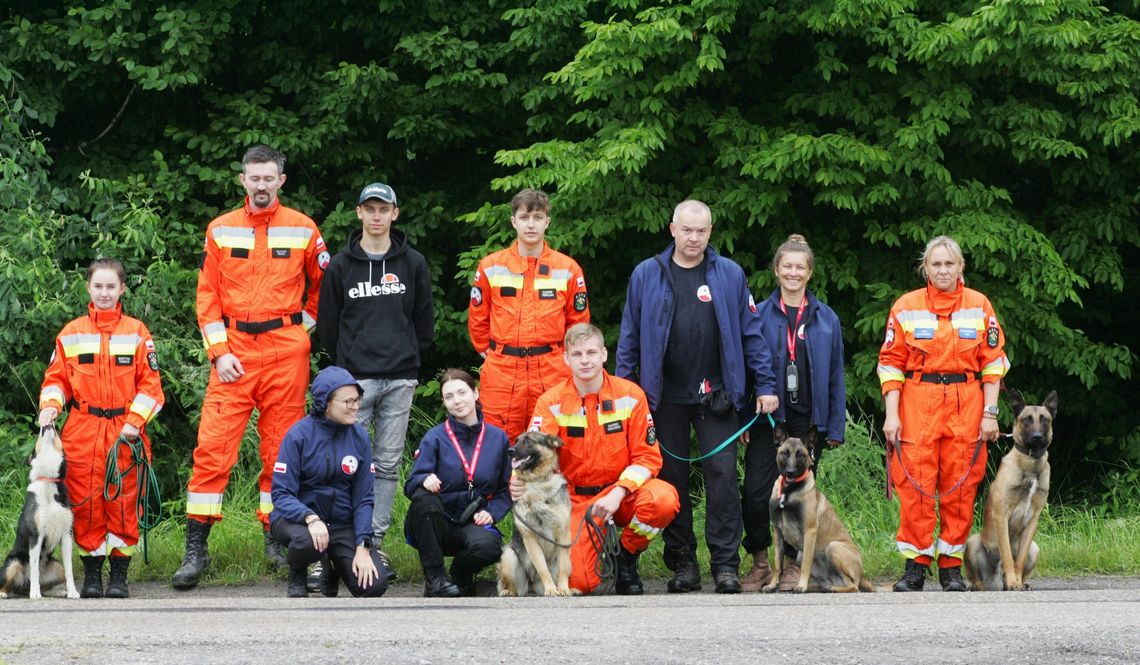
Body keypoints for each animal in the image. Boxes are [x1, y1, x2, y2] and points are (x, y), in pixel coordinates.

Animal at [0, 428, 79, 602]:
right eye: (39, 435)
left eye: (55, 430)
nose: (47, 425)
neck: (49, 481)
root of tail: (23, 586)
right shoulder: (36, 535)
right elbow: (34, 569)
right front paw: (35, 594)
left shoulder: (66, 536)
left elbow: (70, 571)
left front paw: (72, 592)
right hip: (13, 563)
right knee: (11, 584)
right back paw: (7, 593)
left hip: (57, 567)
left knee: (47, 585)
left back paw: (57, 592)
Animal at [499, 431, 574, 597]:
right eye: (516, 440)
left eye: (529, 440)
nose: (509, 451)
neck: (537, 482)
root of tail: (532, 588)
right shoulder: (530, 538)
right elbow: (542, 568)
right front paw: (551, 589)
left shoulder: (563, 535)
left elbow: (563, 568)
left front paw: (563, 589)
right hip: (509, 556)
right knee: (511, 585)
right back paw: (509, 591)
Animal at [766, 428, 870, 597]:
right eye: (785, 453)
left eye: (800, 454)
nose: (790, 472)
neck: (790, 491)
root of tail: (862, 575)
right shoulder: (778, 532)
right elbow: (777, 563)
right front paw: (772, 585)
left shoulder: (809, 531)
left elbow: (806, 564)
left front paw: (801, 586)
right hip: (802, 557)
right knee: (827, 583)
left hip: (832, 547)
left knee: (853, 586)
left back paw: (827, 588)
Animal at [962, 387, 1057, 588]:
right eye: (1027, 419)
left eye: (1045, 419)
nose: (1037, 437)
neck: (1031, 462)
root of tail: (995, 583)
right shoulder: (1002, 516)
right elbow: (1007, 556)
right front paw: (1013, 582)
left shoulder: (1033, 521)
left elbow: (1018, 560)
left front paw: (1017, 581)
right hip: (972, 542)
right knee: (977, 579)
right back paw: (978, 586)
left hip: (1035, 549)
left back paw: (1024, 584)